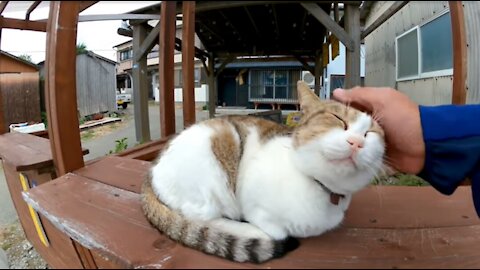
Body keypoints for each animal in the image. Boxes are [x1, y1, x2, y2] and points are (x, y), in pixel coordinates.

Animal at [142, 80, 386, 264]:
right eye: (338, 120)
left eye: (371, 133)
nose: (357, 142)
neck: (319, 186)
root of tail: (151, 171)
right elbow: (275, 228)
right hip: (217, 154)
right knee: (199, 217)